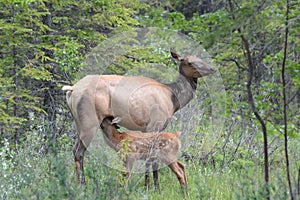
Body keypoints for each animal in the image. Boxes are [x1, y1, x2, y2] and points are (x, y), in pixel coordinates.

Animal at [62, 49, 216, 184]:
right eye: (189, 62)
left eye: (200, 59)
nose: (212, 69)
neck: (174, 100)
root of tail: (72, 89)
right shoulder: (155, 124)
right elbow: (151, 159)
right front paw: (153, 187)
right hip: (89, 122)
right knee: (79, 151)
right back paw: (82, 185)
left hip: (79, 123)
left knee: (75, 149)